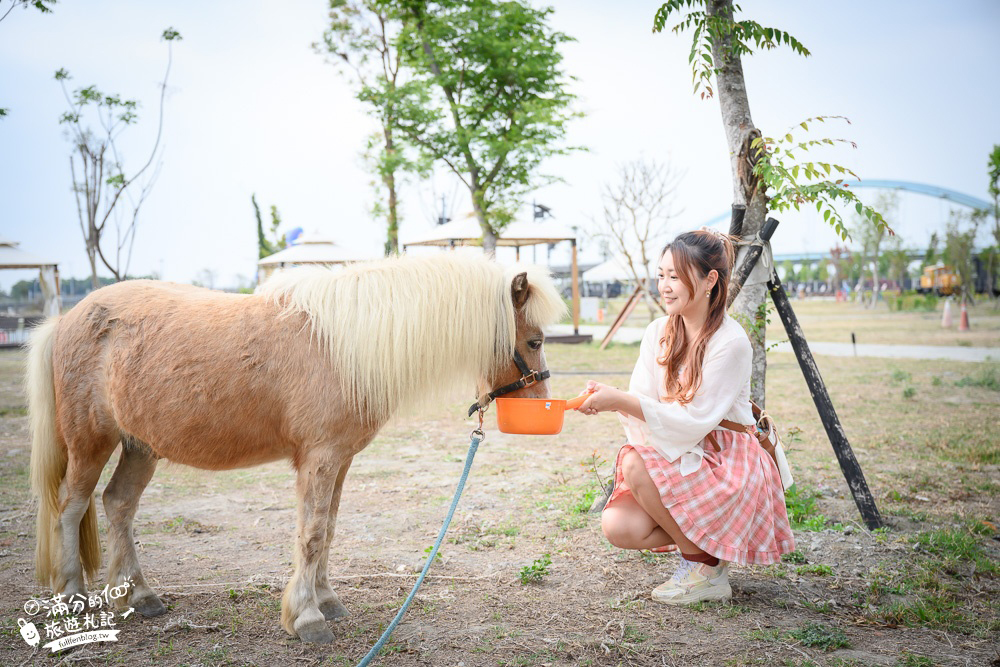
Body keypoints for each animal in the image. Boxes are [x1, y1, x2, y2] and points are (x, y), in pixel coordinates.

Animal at [25, 250, 564, 640]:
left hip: (140, 445)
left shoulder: (340, 461)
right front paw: (306, 619)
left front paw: (326, 601)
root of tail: (66, 320)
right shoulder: (320, 459)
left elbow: (327, 530)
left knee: (118, 504)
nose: (540, 403)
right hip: (90, 442)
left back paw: (139, 596)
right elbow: (310, 533)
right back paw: (72, 596)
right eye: (534, 341)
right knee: (71, 509)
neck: (344, 346)